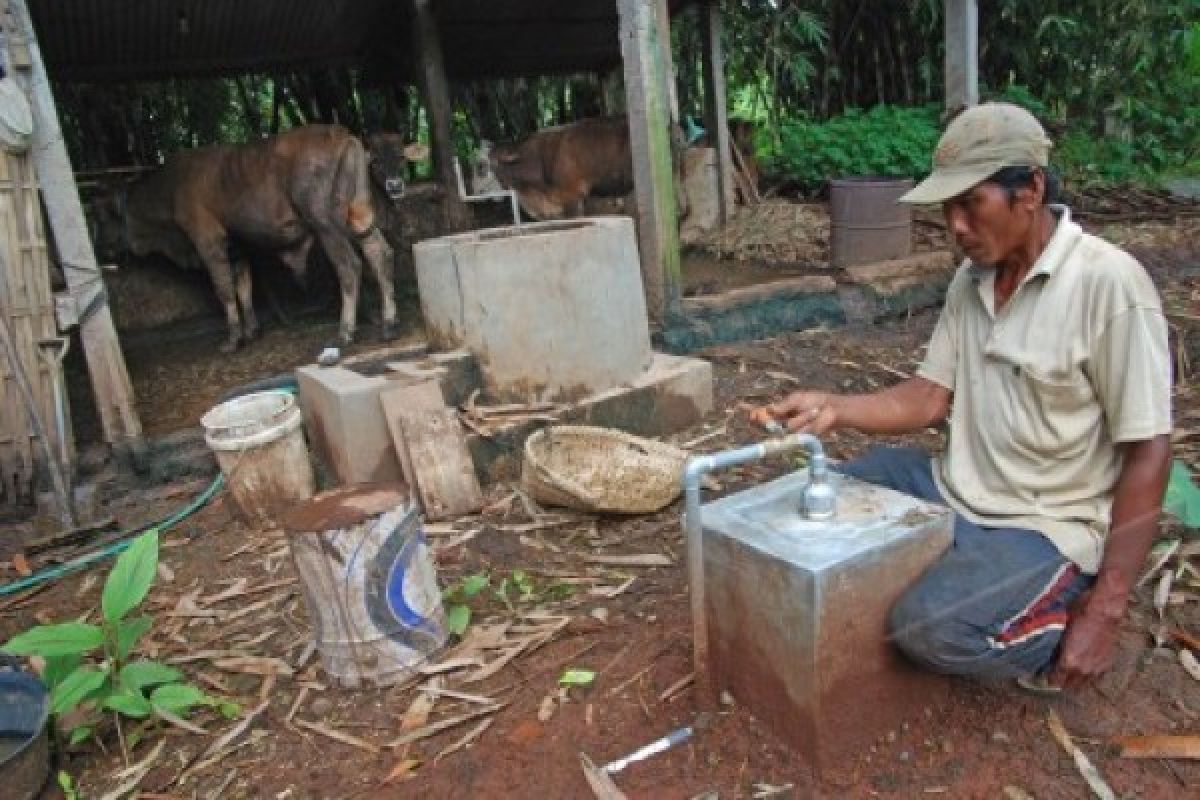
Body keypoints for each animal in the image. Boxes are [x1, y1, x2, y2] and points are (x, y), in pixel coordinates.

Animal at [107, 125, 393, 350]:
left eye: (102, 217)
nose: (106, 252)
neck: (170, 188)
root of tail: (341, 134)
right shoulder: (237, 248)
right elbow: (243, 287)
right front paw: (252, 331)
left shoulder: (208, 243)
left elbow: (224, 288)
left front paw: (233, 340)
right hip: (358, 218)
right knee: (379, 253)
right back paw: (388, 323)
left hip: (325, 225)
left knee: (349, 267)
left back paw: (345, 333)